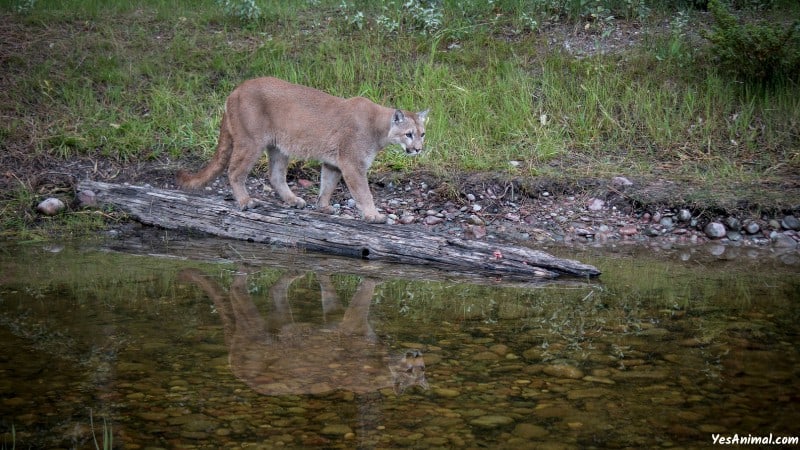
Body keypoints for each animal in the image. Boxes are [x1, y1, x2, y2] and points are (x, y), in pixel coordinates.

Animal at [178, 79, 432, 225]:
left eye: (422, 134)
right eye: (409, 134)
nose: (418, 149)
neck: (379, 128)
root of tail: (236, 90)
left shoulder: (334, 163)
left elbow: (327, 184)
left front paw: (323, 206)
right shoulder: (353, 164)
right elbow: (364, 192)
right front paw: (374, 215)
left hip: (279, 147)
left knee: (275, 175)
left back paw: (293, 200)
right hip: (251, 142)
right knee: (234, 171)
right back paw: (246, 202)